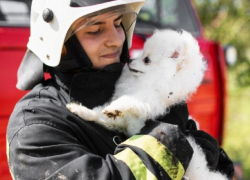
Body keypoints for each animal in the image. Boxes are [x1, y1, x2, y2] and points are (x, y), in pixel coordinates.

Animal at [67, 29, 229, 180]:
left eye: (147, 60)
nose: (130, 60)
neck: (147, 82)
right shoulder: (127, 121)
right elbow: (100, 114)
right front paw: (81, 110)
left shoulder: (148, 103)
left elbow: (129, 101)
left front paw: (114, 107)